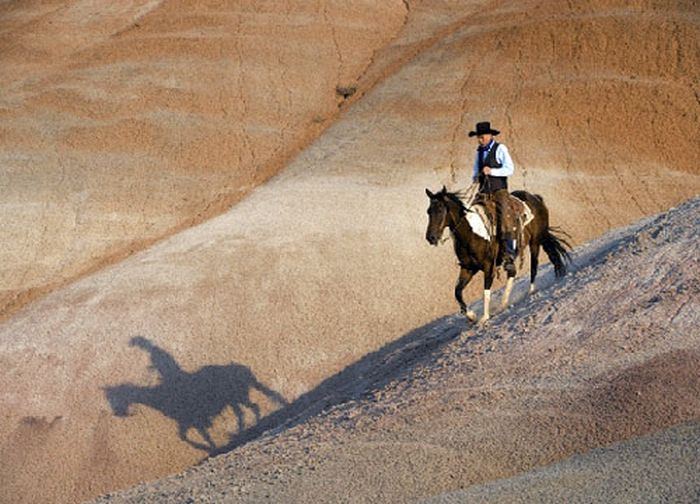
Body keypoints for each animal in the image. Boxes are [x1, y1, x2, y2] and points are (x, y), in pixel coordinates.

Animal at [426, 185, 568, 322]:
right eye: (428, 211)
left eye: (440, 210)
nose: (430, 237)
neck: (472, 234)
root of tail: (535, 198)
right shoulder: (468, 268)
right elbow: (457, 292)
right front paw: (471, 316)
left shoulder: (489, 266)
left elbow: (486, 291)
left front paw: (484, 317)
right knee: (514, 271)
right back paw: (504, 302)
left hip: (535, 242)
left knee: (533, 266)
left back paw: (530, 291)